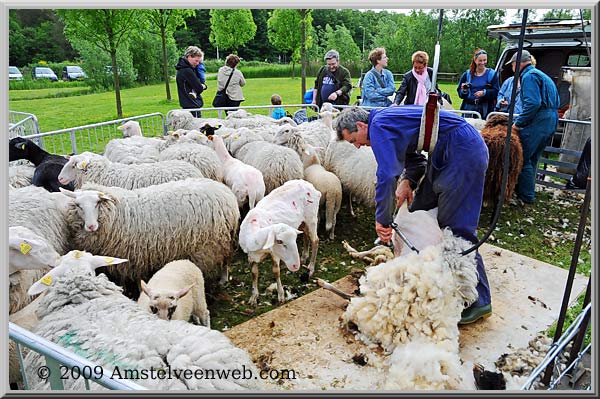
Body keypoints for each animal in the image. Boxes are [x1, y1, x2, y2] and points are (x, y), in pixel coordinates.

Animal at [61, 178, 239, 296]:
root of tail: (225, 192)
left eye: (97, 203)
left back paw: (222, 279)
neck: (116, 213)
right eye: (78, 206)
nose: (91, 226)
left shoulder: (135, 254)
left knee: (223, 260)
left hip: (211, 243)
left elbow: (138, 278)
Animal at [240, 180, 324, 308]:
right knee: (305, 236)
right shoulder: (251, 256)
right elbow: (254, 273)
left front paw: (281, 295)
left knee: (315, 240)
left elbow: (276, 271)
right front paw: (254, 296)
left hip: (311, 218)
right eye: (279, 241)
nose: (295, 266)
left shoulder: (274, 253)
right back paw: (304, 257)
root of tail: (309, 185)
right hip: (302, 222)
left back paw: (310, 268)